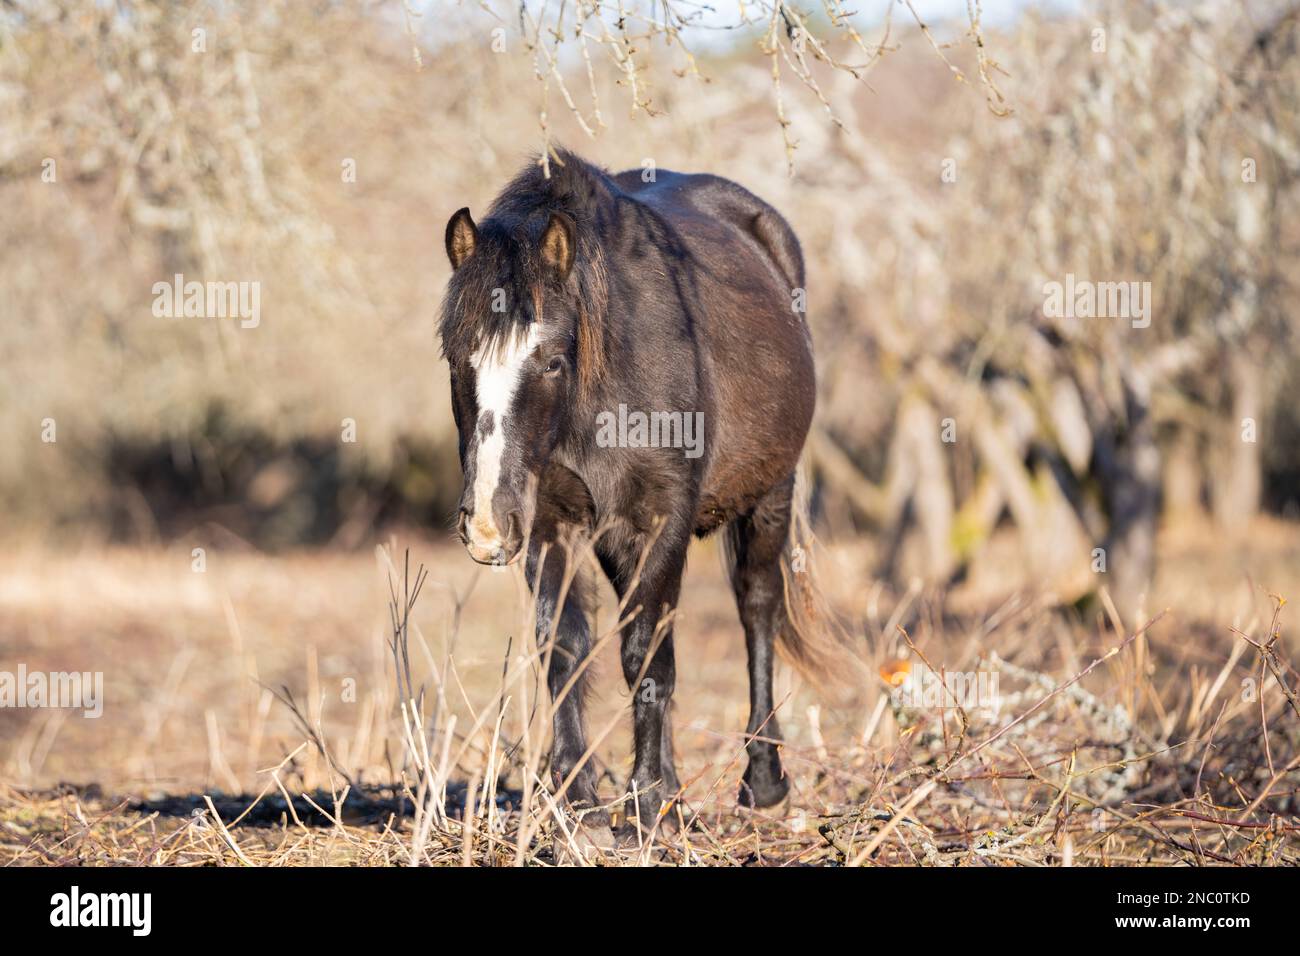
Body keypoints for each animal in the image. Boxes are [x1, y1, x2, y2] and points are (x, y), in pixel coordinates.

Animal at [441, 147, 816, 837]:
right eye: (458, 359)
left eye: (552, 360)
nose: (485, 526)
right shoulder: (550, 524)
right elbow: (566, 650)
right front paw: (578, 799)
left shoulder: (661, 520)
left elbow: (645, 657)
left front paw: (643, 805)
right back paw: (674, 793)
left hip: (770, 495)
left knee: (757, 608)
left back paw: (762, 781)